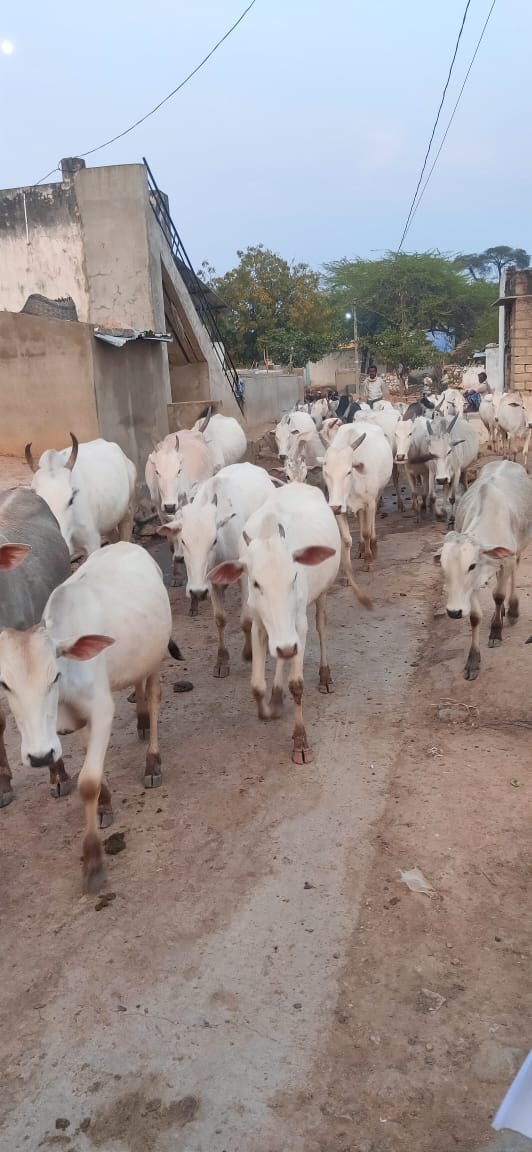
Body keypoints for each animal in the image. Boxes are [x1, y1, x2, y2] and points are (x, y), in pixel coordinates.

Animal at [0, 541, 178, 890]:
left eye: (54, 676)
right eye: (4, 684)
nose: (40, 757)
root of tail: (128, 543)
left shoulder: (101, 711)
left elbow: (88, 782)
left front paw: (94, 861)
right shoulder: (76, 722)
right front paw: (106, 802)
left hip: (155, 658)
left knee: (153, 699)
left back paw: (153, 760)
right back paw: (139, 720)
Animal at [159, 463, 275, 674]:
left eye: (213, 540)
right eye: (183, 541)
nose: (197, 592)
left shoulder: (243, 577)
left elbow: (246, 620)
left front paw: (248, 653)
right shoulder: (210, 582)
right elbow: (220, 619)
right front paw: (222, 660)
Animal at [208, 483, 369, 764]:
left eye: (293, 576)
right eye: (255, 583)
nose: (286, 646)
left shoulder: (298, 628)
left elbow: (297, 684)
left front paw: (300, 742)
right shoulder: (260, 626)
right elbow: (257, 686)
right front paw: (270, 707)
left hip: (321, 595)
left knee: (321, 626)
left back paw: (324, 676)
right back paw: (276, 693)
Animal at [322, 422, 393, 566]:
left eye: (349, 471)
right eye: (326, 472)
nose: (335, 507)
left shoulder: (369, 503)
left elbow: (366, 532)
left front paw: (369, 559)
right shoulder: (339, 510)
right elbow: (346, 539)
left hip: (377, 495)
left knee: (371, 521)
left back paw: (373, 546)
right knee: (361, 517)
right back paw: (361, 548)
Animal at [436, 460, 532, 680]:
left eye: (471, 565)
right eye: (443, 566)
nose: (453, 612)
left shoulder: (505, 561)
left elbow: (498, 595)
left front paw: (496, 631)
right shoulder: (472, 585)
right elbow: (474, 617)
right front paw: (473, 660)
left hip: (517, 552)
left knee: (513, 578)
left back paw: (512, 610)